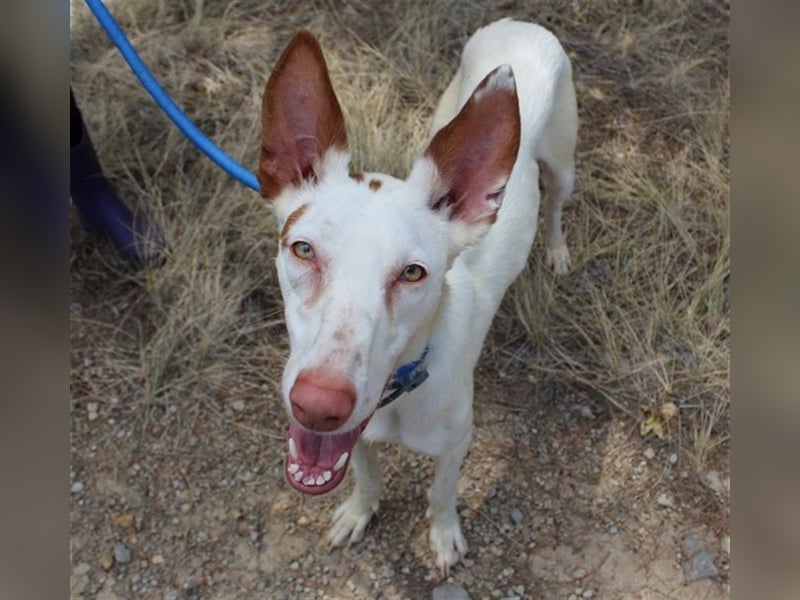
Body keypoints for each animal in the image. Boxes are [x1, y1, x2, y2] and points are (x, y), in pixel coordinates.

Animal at [260, 17, 580, 572]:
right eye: (303, 249)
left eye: (412, 273)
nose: (318, 407)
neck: (398, 396)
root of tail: (519, 21)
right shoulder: (357, 436)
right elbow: (366, 476)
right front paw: (358, 513)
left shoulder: (457, 443)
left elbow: (441, 494)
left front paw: (444, 534)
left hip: (563, 161)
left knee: (557, 204)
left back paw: (557, 250)